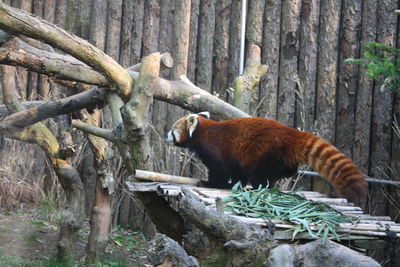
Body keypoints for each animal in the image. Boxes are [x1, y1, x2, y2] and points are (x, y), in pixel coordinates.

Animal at [166, 111, 368, 207]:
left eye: (173, 129)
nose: (166, 134)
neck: (202, 131)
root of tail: (289, 133)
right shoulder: (234, 157)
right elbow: (236, 172)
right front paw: (233, 185)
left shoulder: (215, 150)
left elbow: (220, 171)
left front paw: (209, 183)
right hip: (279, 156)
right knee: (285, 170)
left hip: (262, 151)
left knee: (259, 174)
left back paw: (259, 187)